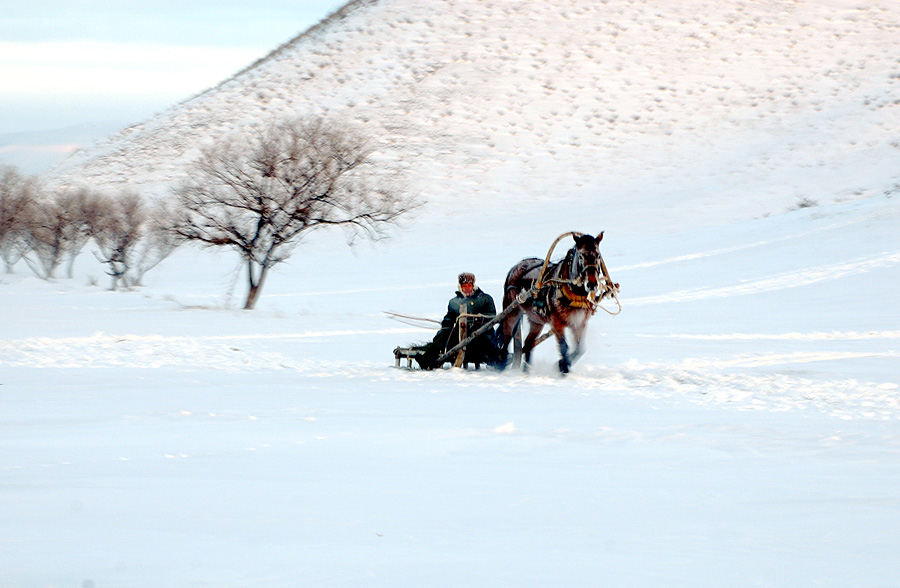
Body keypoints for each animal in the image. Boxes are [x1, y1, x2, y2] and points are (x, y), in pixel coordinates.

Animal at [496, 231, 608, 372]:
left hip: (536, 320)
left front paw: (561, 364)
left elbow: (579, 349)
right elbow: (564, 347)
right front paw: (564, 368)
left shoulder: (579, 322)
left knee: (528, 343)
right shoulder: (557, 323)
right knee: (506, 338)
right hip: (512, 312)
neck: (573, 292)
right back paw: (501, 365)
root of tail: (515, 268)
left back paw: (526, 370)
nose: (592, 284)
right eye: (581, 256)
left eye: (598, 255)